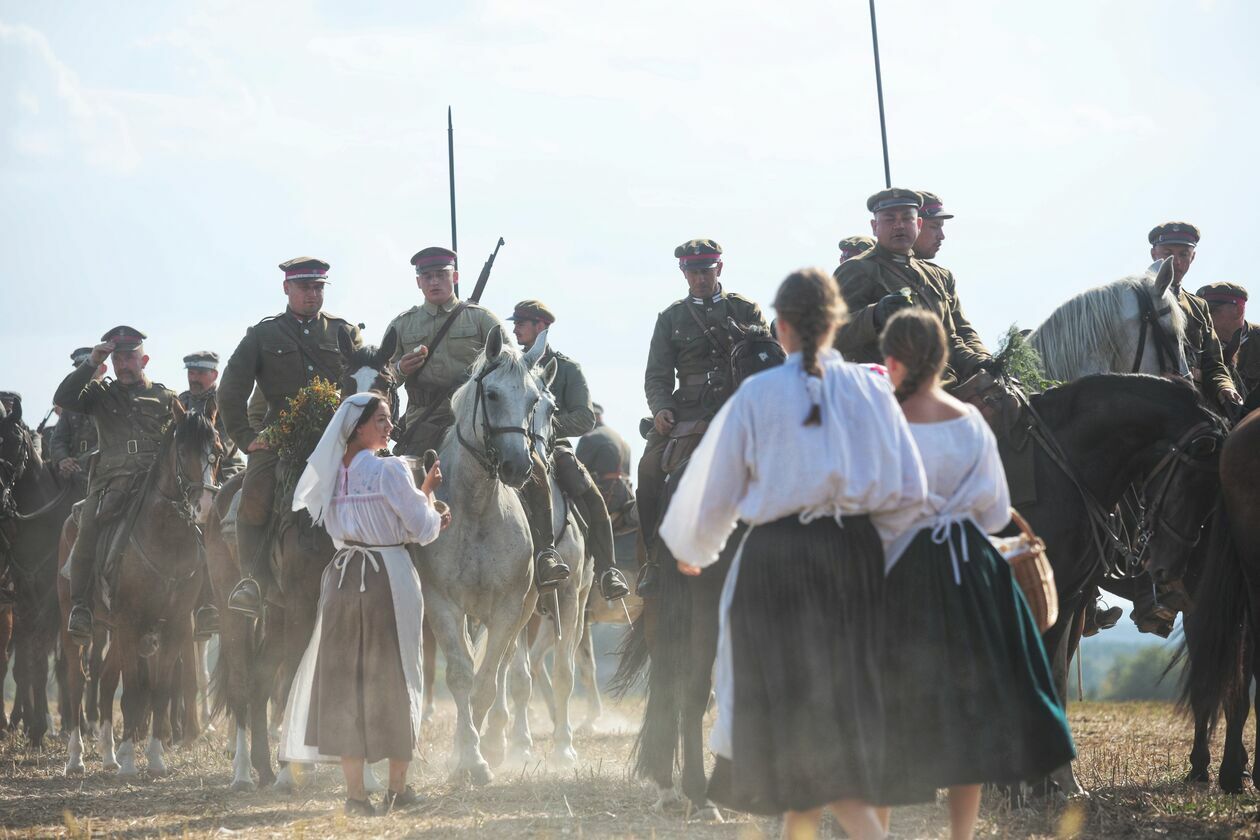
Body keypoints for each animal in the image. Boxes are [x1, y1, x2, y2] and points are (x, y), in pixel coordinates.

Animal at [415, 324, 549, 785]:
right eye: (491, 394)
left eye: (535, 399)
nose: (518, 467)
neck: (475, 509)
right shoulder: (441, 604)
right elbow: (460, 674)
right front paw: (467, 758)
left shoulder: (508, 607)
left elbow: (487, 680)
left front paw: (478, 752)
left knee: (505, 667)